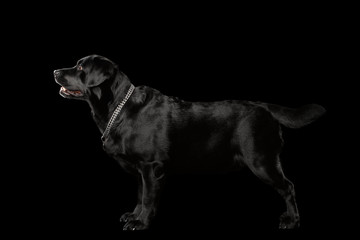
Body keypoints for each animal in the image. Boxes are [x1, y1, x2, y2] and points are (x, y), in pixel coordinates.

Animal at [54, 54, 326, 231]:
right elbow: (141, 195)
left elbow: (149, 198)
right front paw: (133, 215)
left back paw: (291, 220)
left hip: (261, 160)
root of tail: (266, 107)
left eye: (80, 67)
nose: (55, 72)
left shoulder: (151, 167)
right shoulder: (140, 171)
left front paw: (140, 222)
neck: (120, 108)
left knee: (288, 187)